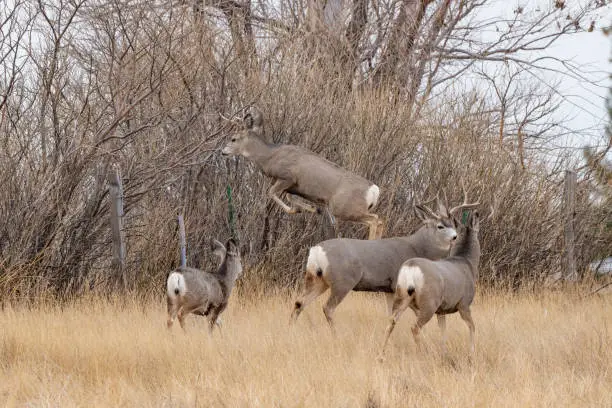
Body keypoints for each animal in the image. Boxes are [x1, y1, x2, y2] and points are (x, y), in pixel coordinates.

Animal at [220, 107, 382, 239]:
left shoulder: (287, 177)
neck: (270, 156)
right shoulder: (293, 187)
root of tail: (374, 190)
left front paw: (294, 210)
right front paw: (312, 209)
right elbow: (290, 197)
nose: (223, 152)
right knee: (378, 221)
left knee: (376, 220)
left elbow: (271, 192)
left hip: (344, 208)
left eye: (233, 139)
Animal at [290, 197, 474, 328]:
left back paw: (291, 329)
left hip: (317, 279)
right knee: (327, 308)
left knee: (300, 302)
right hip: (343, 281)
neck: (417, 247)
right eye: (440, 226)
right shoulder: (397, 286)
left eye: (454, 223)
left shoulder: (388, 289)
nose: (455, 237)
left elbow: (389, 315)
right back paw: (335, 334)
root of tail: (317, 250)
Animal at [378, 190, 482, 356]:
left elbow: (443, 330)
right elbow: (472, 326)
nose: (454, 237)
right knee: (414, 328)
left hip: (401, 295)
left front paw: (444, 353)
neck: (466, 262)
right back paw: (422, 354)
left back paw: (381, 355)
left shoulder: (442, 309)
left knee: (391, 322)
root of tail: (411, 268)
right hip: (429, 302)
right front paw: (471, 354)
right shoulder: (464, 303)